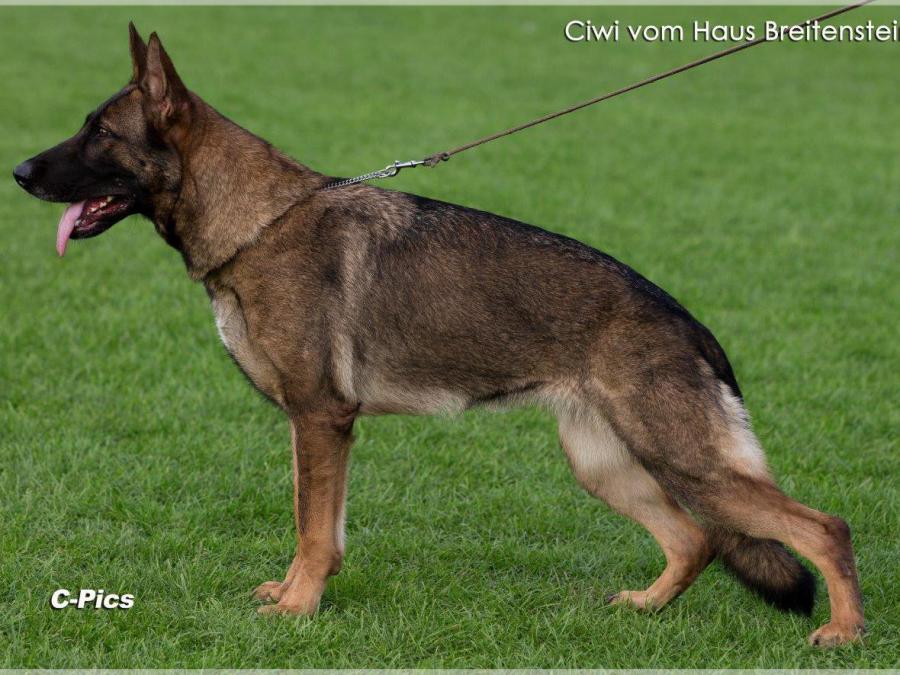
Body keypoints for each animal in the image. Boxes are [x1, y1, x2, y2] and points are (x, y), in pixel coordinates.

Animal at [13, 24, 864, 646]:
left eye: (98, 132)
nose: (18, 171)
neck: (257, 222)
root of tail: (689, 321)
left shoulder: (321, 419)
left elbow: (314, 529)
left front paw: (296, 610)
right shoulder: (310, 427)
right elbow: (314, 522)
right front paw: (297, 594)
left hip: (683, 459)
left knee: (822, 526)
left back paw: (844, 632)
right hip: (603, 463)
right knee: (694, 541)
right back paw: (648, 608)